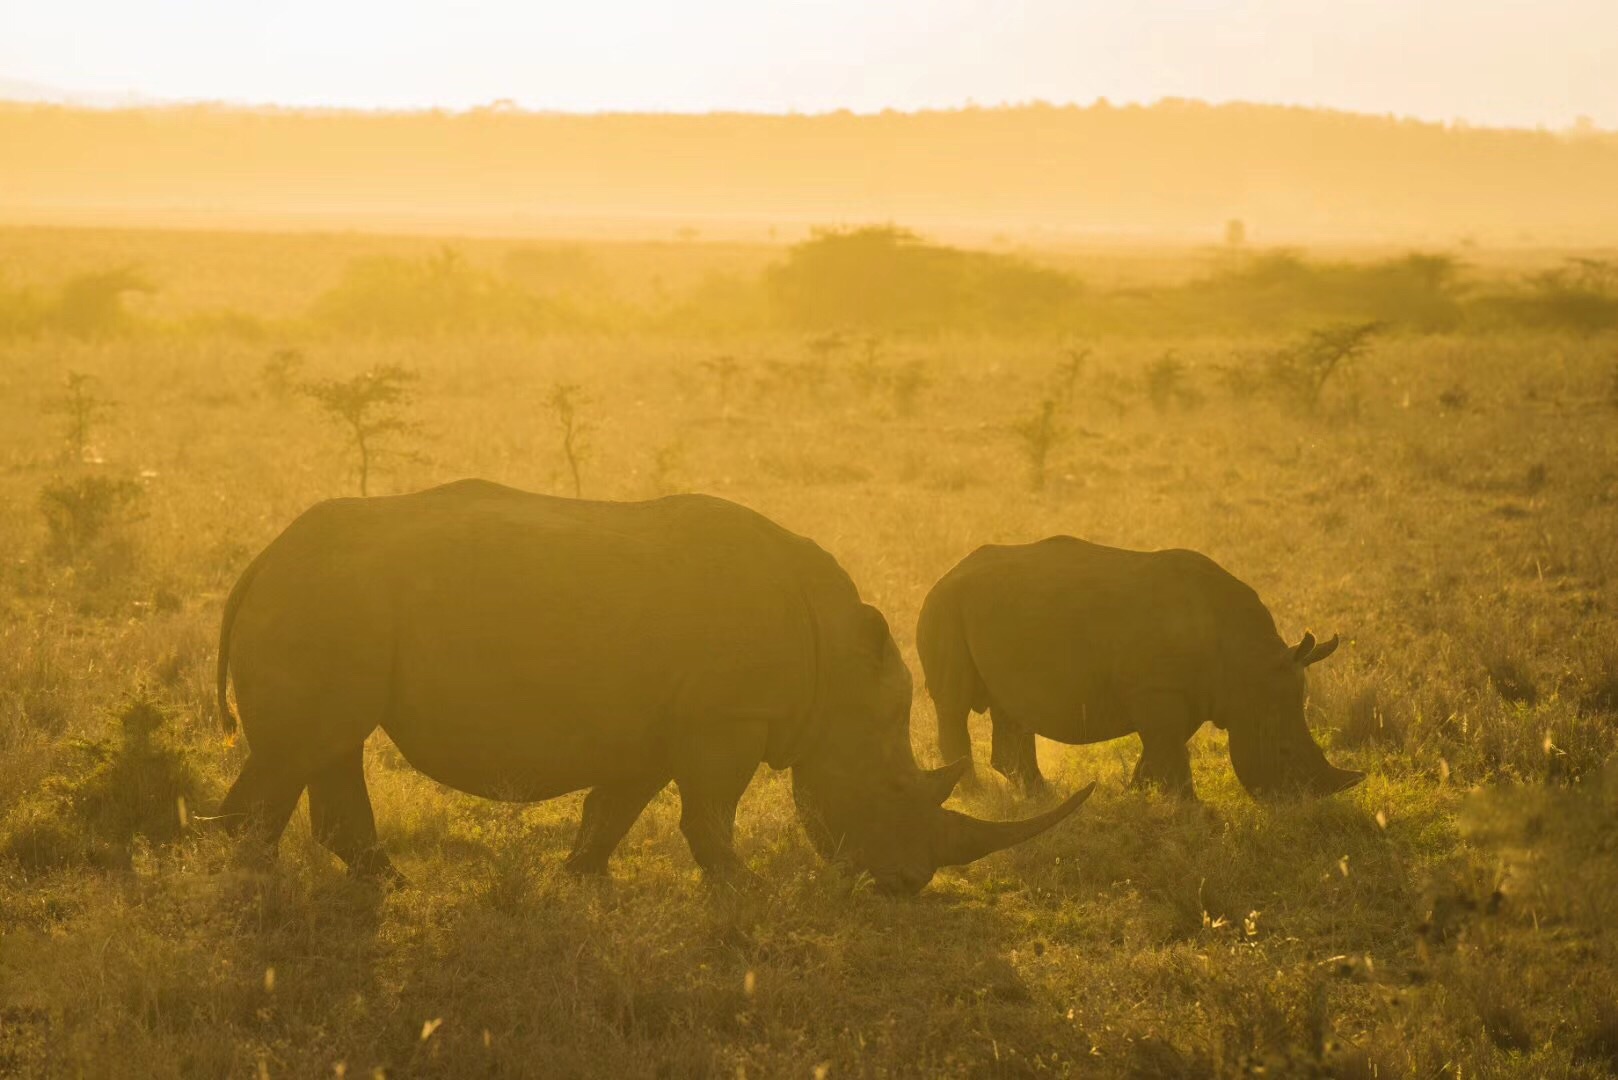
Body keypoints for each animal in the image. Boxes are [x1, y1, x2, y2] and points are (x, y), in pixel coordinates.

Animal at [215, 482, 1093, 893]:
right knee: (304, 748)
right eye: (895, 790)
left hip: (338, 603)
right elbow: (708, 812)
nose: (907, 887)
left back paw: (389, 884)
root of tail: (259, 562)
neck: (838, 671)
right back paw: (261, 890)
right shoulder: (727, 718)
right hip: (327, 598)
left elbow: (616, 806)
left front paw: (578, 878)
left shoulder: (657, 721)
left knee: (331, 744)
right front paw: (750, 890)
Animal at [919, 540, 1359, 803]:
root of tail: (943, 575)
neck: (1246, 666)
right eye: (1283, 752)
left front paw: (1139, 792)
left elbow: (1165, 745)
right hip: (946, 608)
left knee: (1011, 708)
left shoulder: (1184, 693)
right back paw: (976, 797)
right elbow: (1171, 747)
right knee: (954, 705)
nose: (1297, 806)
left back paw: (1042, 797)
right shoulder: (1157, 689)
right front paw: (1192, 810)